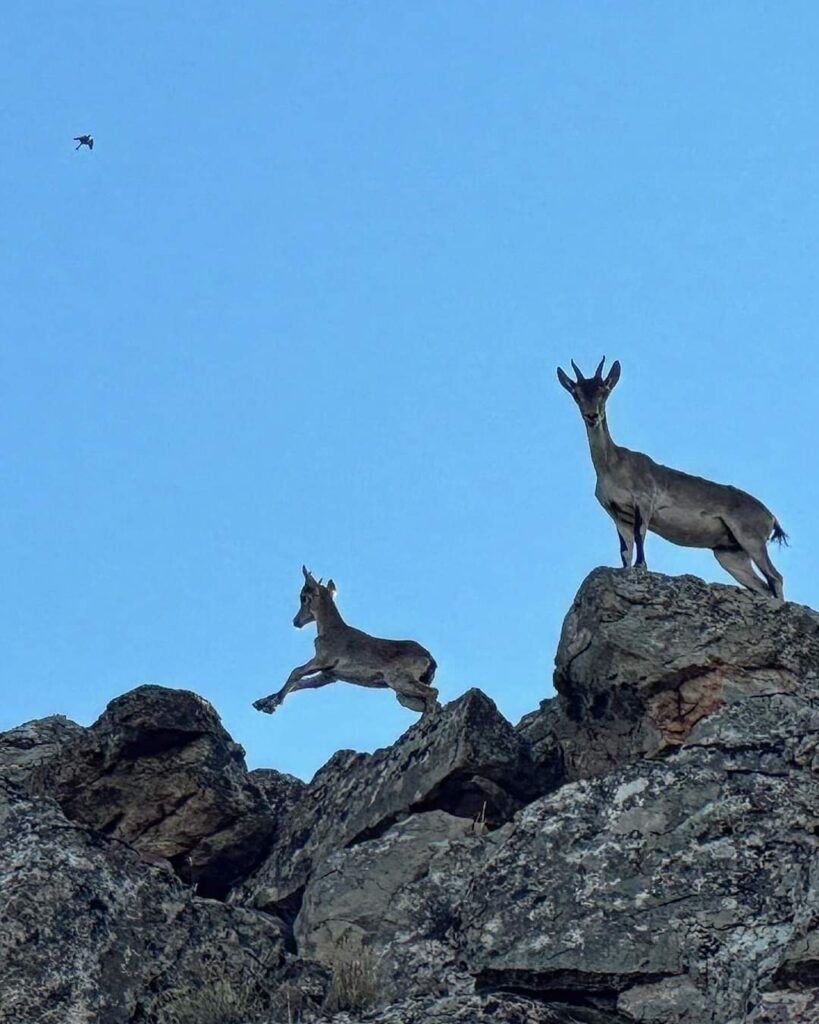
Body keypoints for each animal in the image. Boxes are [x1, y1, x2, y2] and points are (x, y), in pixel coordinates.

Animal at [252, 569, 438, 720]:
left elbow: (296, 672)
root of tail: (430, 659)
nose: (296, 621)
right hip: (403, 692)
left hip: (398, 679)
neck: (331, 630)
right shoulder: (328, 676)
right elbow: (300, 684)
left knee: (433, 693)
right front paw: (261, 703)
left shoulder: (323, 660)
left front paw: (272, 704)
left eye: (304, 598)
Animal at [556, 360, 786, 598]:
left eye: (604, 390)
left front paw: (641, 567)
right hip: (731, 554)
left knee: (775, 577)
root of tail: (771, 518)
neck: (614, 464)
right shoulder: (617, 513)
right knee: (763, 586)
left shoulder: (644, 501)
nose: (592, 416)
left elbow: (640, 535)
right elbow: (625, 551)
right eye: (576, 394)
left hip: (751, 538)